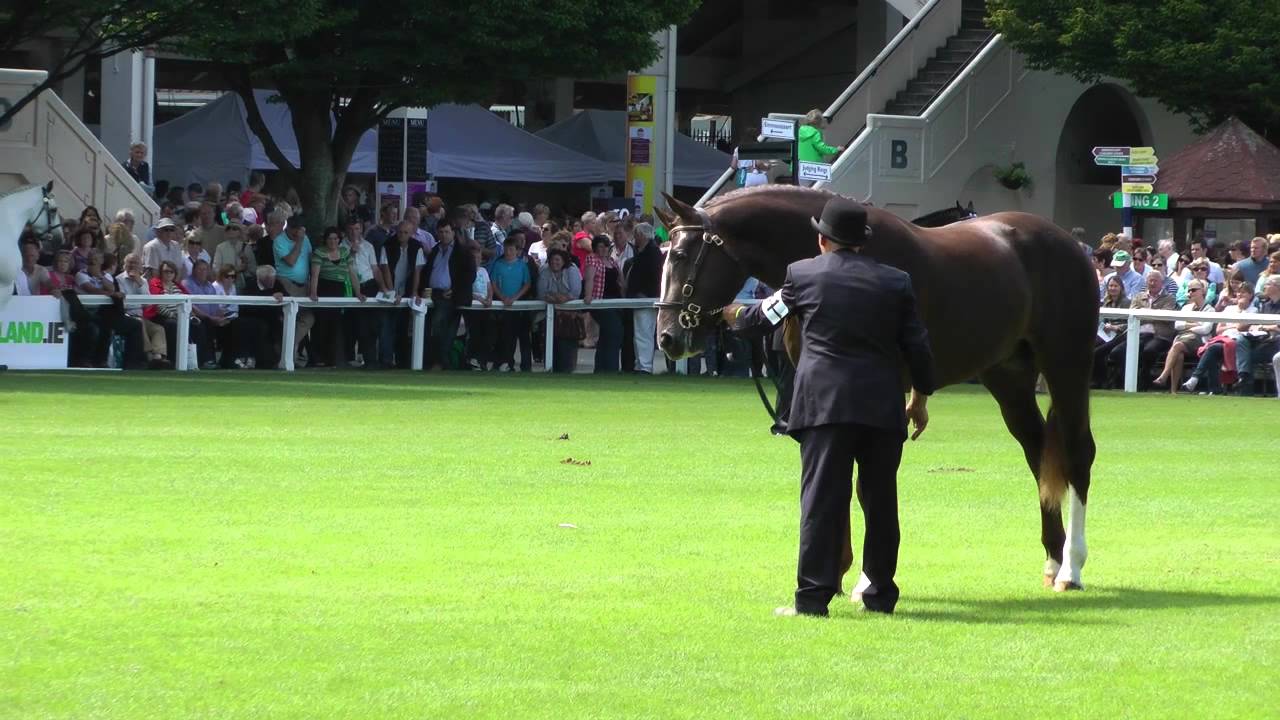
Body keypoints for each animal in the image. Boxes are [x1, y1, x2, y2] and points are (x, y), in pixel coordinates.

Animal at [654, 185, 1098, 593]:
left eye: (681, 256)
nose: (668, 339)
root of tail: (1067, 242)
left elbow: (865, 484)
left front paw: (866, 580)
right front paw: (835, 571)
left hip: (1067, 365)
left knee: (1078, 453)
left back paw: (1071, 567)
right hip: (1008, 375)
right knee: (1038, 454)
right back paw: (1052, 559)